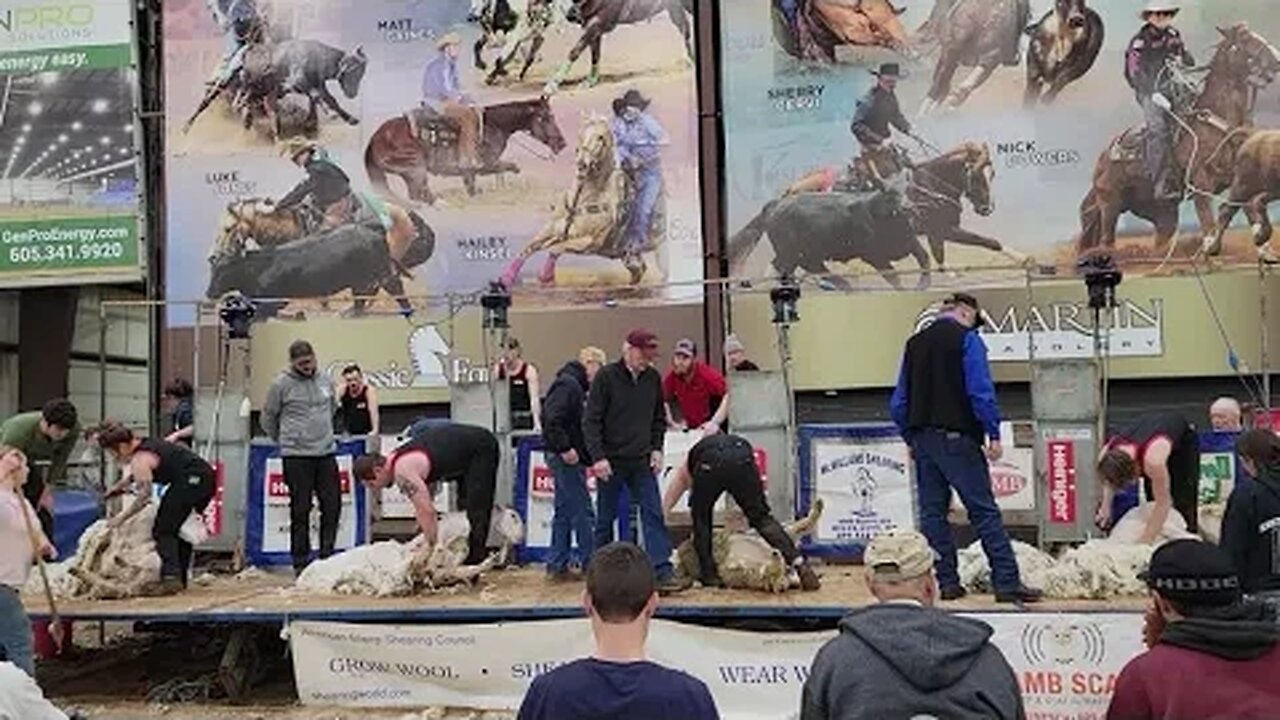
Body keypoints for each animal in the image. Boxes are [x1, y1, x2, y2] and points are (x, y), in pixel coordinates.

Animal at [358, 94, 563, 202]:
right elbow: (510, 166)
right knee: (418, 194)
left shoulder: (470, 173)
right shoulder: (485, 165)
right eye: (545, 118)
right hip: (415, 168)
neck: (493, 126)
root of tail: (374, 139)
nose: (562, 143)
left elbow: (471, 185)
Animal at [496, 113, 665, 286]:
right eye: (581, 134)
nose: (582, 164)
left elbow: (556, 248)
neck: (580, 202)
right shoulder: (550, 230)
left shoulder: (591, 242)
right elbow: (529, 247)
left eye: (601, 137)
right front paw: (506, 278)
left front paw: (546, 276)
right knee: (638, 269)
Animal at [1080, 23, 1280, 254]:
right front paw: (1211, 248)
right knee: (1107, 240)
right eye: (1246, 39)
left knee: (1161, 239)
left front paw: (1265, 249)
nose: (1276, 59)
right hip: (1110, 204)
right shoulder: (1201, 184)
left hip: (1162, 213)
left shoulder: (1243, 180)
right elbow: (1208, 224)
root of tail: (1103, 158)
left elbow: (1245, 211)